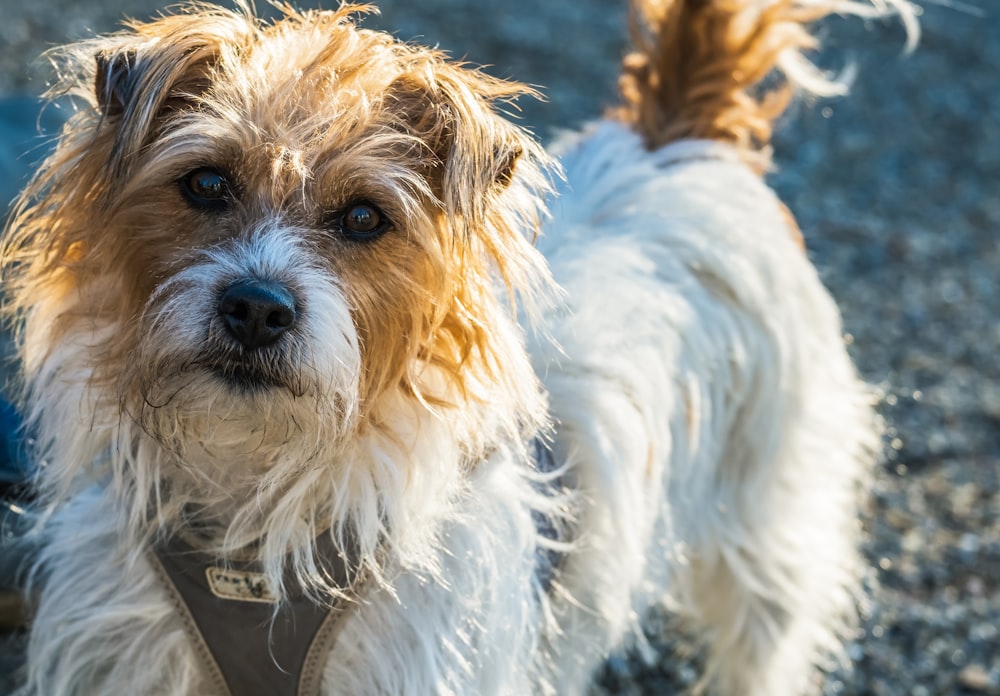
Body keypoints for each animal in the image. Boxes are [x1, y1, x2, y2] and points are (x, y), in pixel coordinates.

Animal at [0, 1, 916, 696]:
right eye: (206, 183)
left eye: (363, 217)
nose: (256, 308)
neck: (256, 503)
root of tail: (677, 139)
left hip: (767, 520)